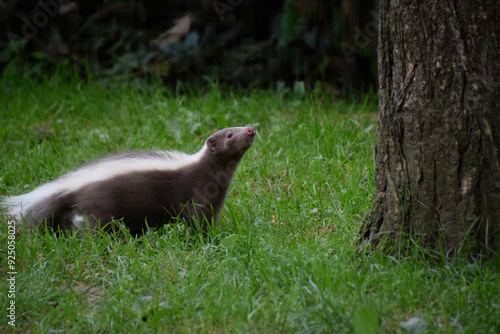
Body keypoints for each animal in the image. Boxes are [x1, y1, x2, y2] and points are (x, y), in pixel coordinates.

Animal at [1, 126, 256, 234]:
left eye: (239, 127)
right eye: (230, 135)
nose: (251, 129)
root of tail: (68, 185)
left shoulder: (215, 196)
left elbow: (210, 216)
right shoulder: (197, 192)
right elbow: (196, 217)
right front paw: (204, 239)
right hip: (100, 203)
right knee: (92, 225)